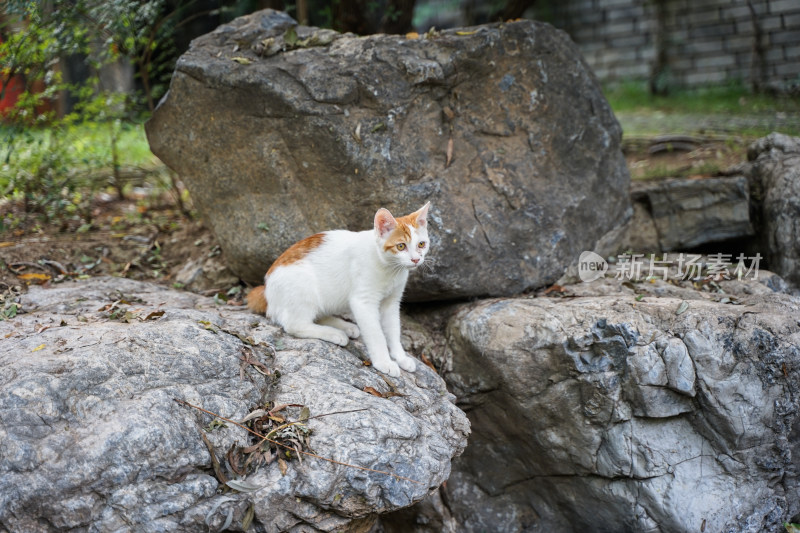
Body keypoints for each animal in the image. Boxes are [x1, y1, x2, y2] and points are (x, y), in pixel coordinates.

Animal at [247, 202, 432, 376]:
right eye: (401, 246)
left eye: (421, 244)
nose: (416, 259)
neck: (390, 268)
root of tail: (266, 289)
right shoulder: (363, 302)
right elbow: (377, 334)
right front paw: (384, 362)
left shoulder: (391, 302)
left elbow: (393, 331)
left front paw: (400, 357)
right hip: (303, 286)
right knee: (295, 325)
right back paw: (334, 333)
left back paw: (344, 327)